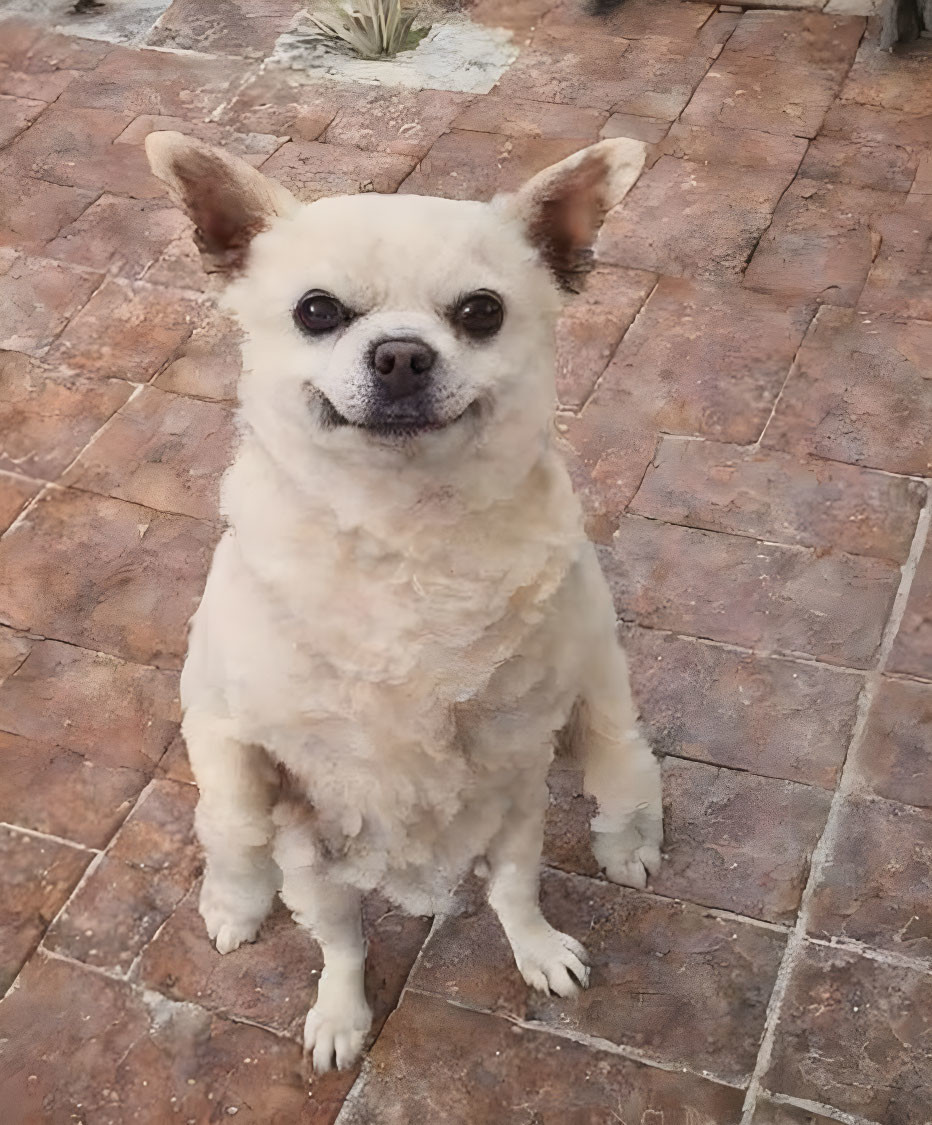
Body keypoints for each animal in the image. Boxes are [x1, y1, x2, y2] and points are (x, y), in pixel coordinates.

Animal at [144, 131, 661, 1071]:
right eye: (316, 311)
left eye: (482, 312)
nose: (401, 354)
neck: (406, 533)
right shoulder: (292, 816)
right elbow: (328, 927)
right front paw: (340, 1013)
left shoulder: (518, 789)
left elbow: (516, 890)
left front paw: (537, 949)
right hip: (239, 780)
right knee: (244, 851)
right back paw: (239, 908)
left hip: (603, 704)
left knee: (622, 768)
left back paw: (630, 838)